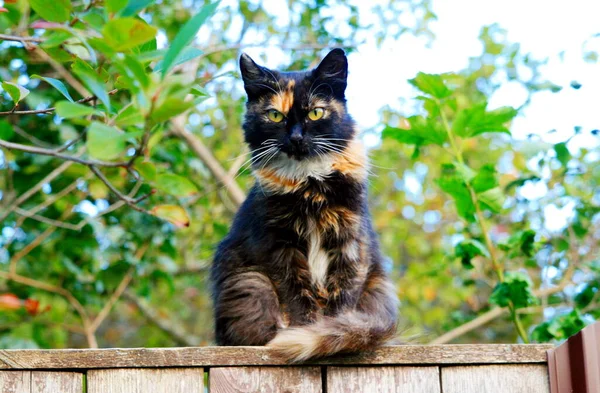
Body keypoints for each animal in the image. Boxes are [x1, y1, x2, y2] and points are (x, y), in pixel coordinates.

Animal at [211, 49, 398, 362]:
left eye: (315, 113)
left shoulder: (350, 245)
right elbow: (297, 298)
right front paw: (307, 332)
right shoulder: (279, 247)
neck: (310, 186)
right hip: (250, 281)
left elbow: (342, 300)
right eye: (275, 115)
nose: (296, 137)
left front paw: (333, 333)